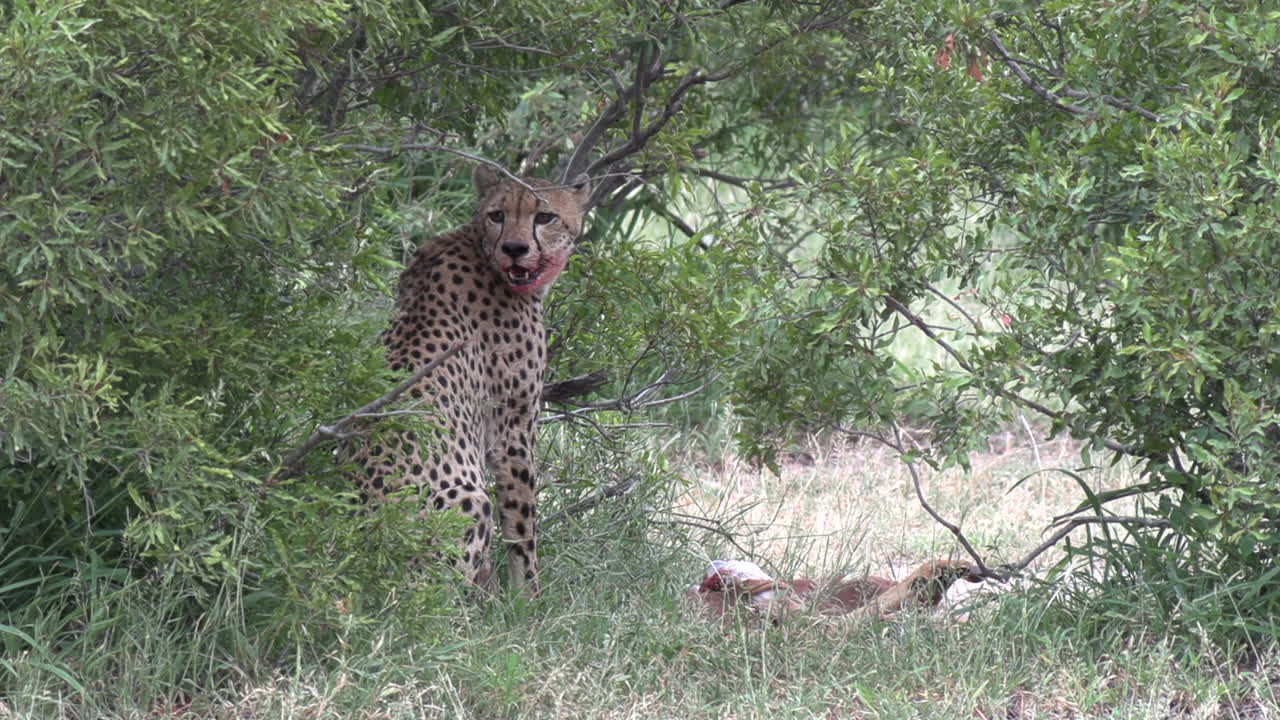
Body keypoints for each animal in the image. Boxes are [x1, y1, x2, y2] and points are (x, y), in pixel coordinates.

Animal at [354, 165, 592, 591]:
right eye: (498, 215)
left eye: (544, 217)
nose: (514, 248)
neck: (479, 246)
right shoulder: (512, 433)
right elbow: (521, 527)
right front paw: (528, 595)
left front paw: (498, 594)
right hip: (467, 501)